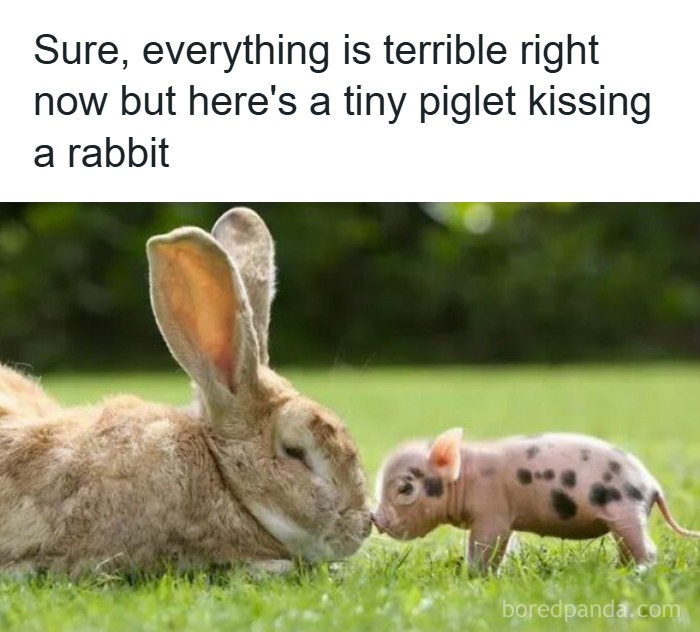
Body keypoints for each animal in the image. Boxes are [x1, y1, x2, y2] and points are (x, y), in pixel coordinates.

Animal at [372, 428, 700, 572]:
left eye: (405, 488)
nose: (375, 518)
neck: (466, 477)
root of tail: (653, 486)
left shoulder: (492, 514)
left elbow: (484, 546)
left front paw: (474, 576)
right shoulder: (505, 520)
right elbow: (502, 546)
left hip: (626, 508)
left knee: (648, 550)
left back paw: (636, 574)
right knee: (627, 546)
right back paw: (618, 570)